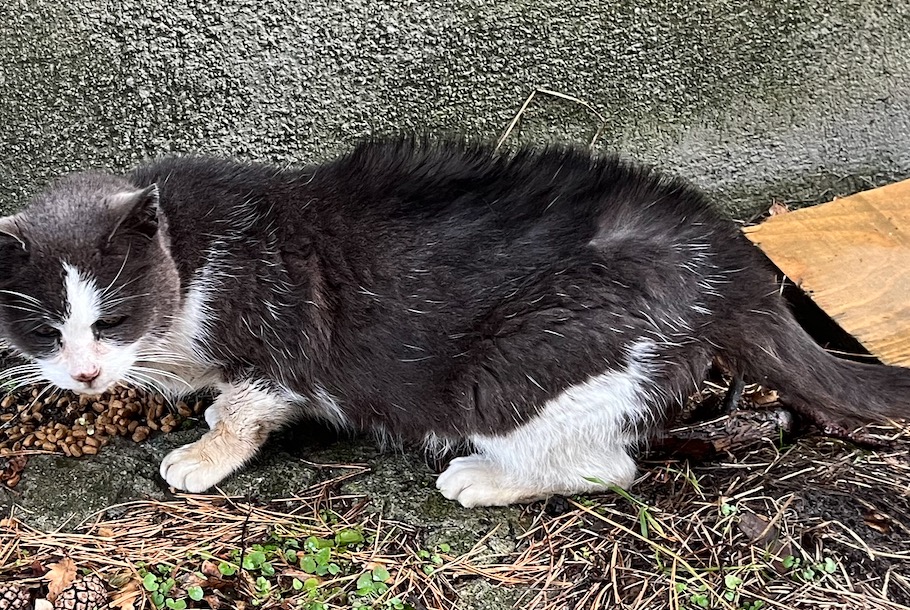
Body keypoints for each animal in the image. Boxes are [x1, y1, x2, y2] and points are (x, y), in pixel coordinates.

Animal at [1, 140, 910, 506]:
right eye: (45, 331)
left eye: (112, 318)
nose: (84, 373)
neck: (191, 257)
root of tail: (727, 260)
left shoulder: (277, 343)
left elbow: (251, 405)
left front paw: (204, 451)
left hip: (519, 367)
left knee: (607, 463)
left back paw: (484, 477)